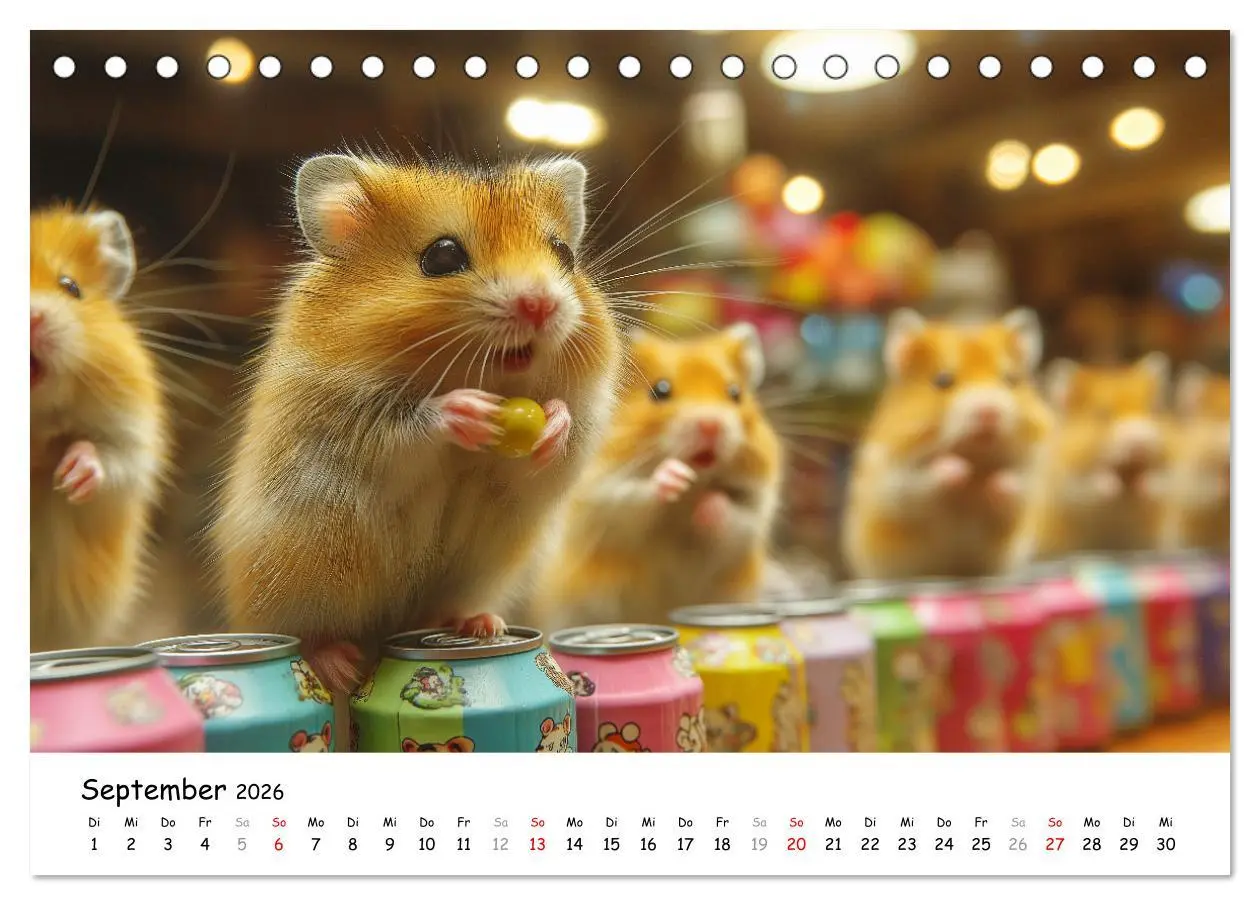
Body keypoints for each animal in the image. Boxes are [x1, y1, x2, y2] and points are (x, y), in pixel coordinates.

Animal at [212, 152, 619, 694]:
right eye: (442, 257)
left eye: (563, 253)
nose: (541, 305)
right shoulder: (354, 422)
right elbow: (413, 426)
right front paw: (467, 409)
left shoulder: (575, 432)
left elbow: (558, 438)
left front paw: (553, 424)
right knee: (307, 636)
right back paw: (340, 666)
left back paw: (480, 626)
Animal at [535, 325, 784, 629]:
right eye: (660, 391)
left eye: (735, 393)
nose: (711, 425)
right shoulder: (602, 497)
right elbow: (635, 498)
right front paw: (674, 476)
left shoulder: (755, 510)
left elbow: (736, 517)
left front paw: (708, 506)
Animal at [843, 308, 1052, 581]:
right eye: (943, 381)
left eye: (1009, 380)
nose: (989, 413)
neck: (975, 453)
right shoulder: (895, 481)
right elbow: (928, 480)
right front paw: (960, 470)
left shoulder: (1029, 481)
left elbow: (1014, 486)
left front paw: (993, 481)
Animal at [1034, 354, 1173, 557]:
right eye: (1102, 413)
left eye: (1152, 410)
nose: (1141, 444)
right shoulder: (1071, 481)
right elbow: (1093, 483)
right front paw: (1111, 485)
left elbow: (1156, 479)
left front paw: (1143, 485)